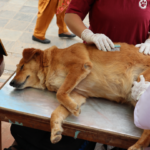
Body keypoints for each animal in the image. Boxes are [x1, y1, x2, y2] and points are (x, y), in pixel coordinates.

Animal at [9, 42, 150, 150]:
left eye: (22, 67)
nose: (11, 83)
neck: (50, 63)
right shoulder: (77, 94)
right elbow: (56, 112)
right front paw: (56, 129)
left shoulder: (80, 66)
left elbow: (60, 93)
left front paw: (73, 108)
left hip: (141, 82)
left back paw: (138, 146)